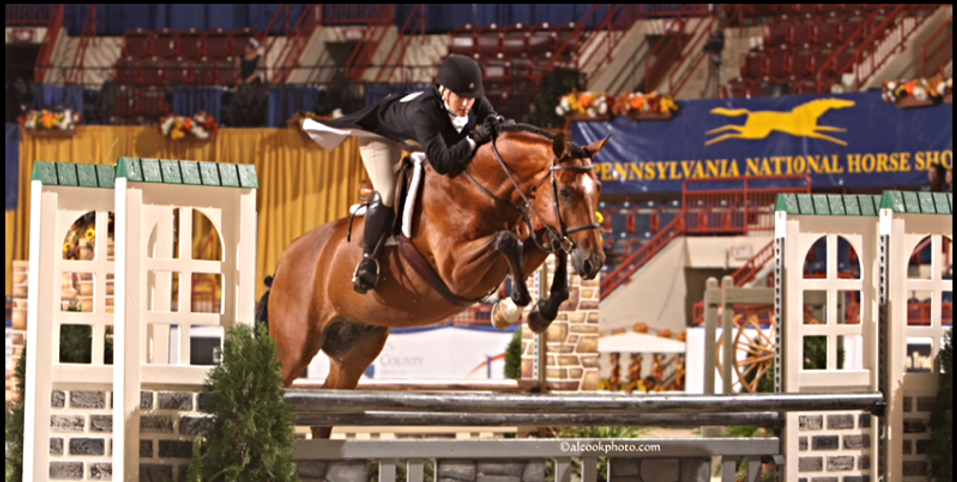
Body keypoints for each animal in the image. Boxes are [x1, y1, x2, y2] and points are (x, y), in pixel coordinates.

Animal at [258, 124, 608, 436]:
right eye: (566, 192)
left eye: (598, 189)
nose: (594, 262)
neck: (481, 188)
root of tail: (283, 262)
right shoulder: (456, 271)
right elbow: (509, 241)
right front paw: (510, 307)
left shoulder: (529, 238)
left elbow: (550, 243)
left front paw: (540, 312)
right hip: (294, 348)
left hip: (354, 350)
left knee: (326, 411)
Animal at [705, 98, 856, 146]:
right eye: (839, 102)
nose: (852, 103)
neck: (808, 114)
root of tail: (751, 113)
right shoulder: (810, 133)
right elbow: (826, 135)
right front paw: (842, 142)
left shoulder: (813, 130)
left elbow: (830, 129)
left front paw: (844, 133)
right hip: (754, 134)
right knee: (730, 132)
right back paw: (711, 139)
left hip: (753, 132)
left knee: (730, 127)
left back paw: (711, 136)